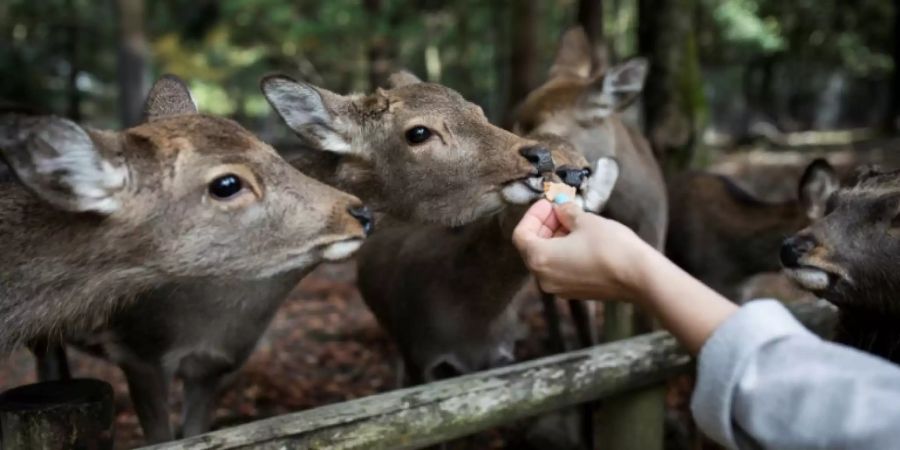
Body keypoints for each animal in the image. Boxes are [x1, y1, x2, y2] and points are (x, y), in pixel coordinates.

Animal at [45, 71, 556, 442]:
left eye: (477, 110)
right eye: (418, 132)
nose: (539, 156)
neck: (206, 308)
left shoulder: (218, 364)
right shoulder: (140, 352)